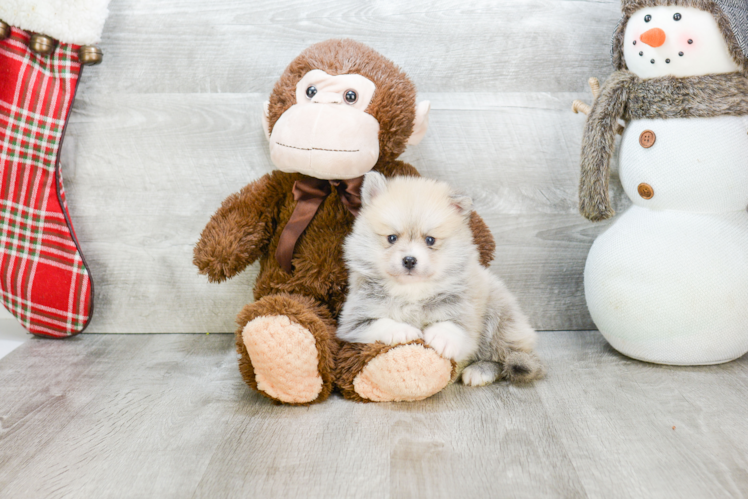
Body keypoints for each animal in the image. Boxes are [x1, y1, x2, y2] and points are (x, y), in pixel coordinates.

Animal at [338, 173, 544, 386]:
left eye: (430, 240)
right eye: (392, 238)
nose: (409, 260)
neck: (412, 291)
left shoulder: (463, 311)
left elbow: (452, 325)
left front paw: (441, 337)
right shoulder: (354, 320)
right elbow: (381, 322)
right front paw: (402, 331)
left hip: (498, 318)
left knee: (505, 357)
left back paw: (480, 371)